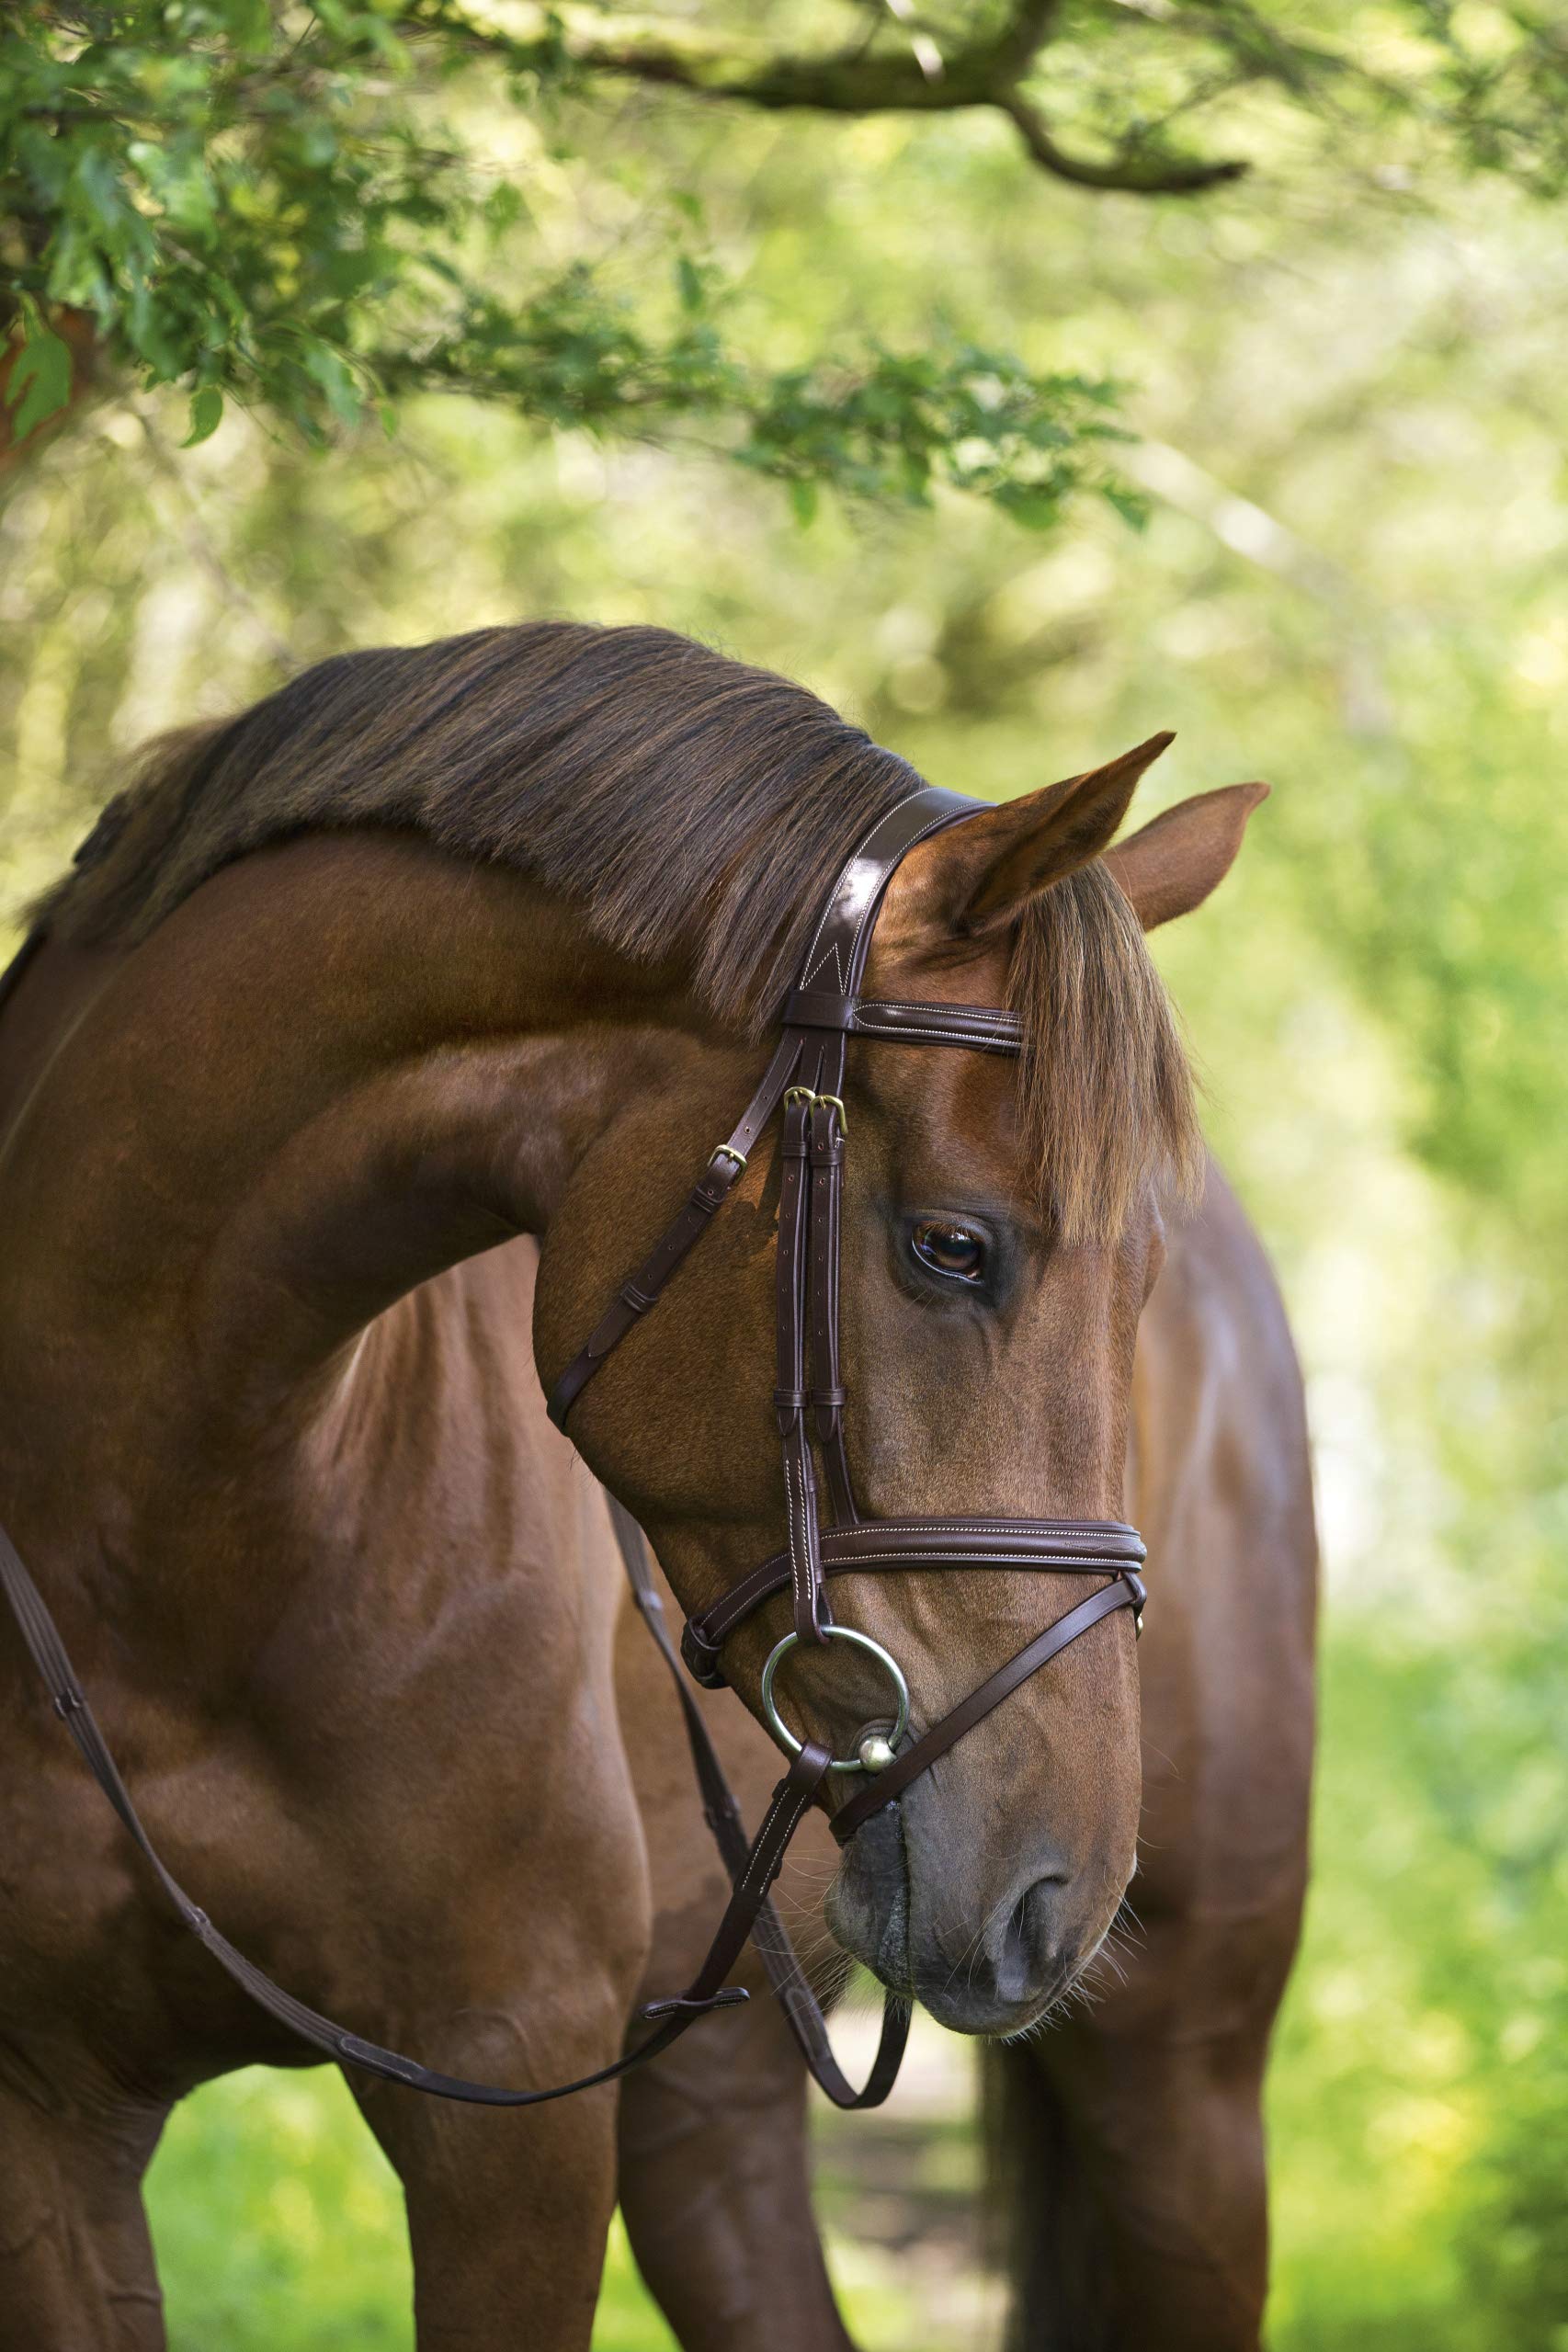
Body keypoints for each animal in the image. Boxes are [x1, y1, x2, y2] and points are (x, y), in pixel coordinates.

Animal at [0, 619, 1300, 2349]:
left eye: (1137, 1283)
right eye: (953, 1246)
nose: (1059, 1888)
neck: (160, 1535)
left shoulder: (511, 2111)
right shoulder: (46, 2120)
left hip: (1184, 2082)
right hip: (714, 2080)